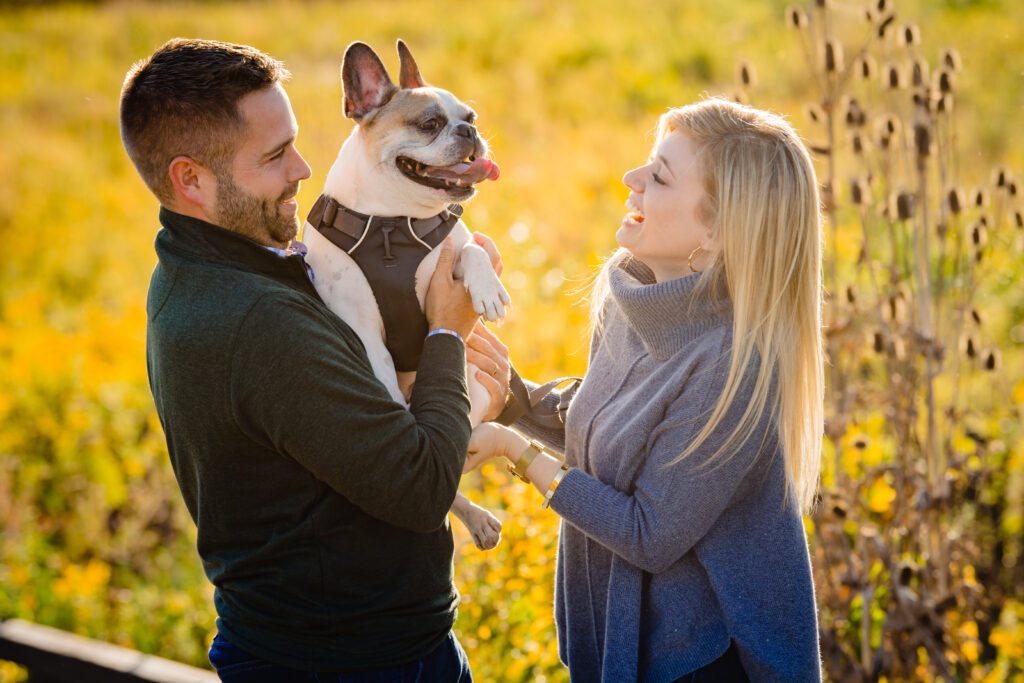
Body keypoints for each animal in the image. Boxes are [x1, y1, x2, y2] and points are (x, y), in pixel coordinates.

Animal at [303, 40, 512, 548]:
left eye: (471, 116)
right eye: (429, 124)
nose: (468, 131)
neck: (392, 225)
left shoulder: (454, 242)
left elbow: (469, 248)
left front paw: (488, 289)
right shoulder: (365, 333)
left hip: (475, 382)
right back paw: (477, 516)